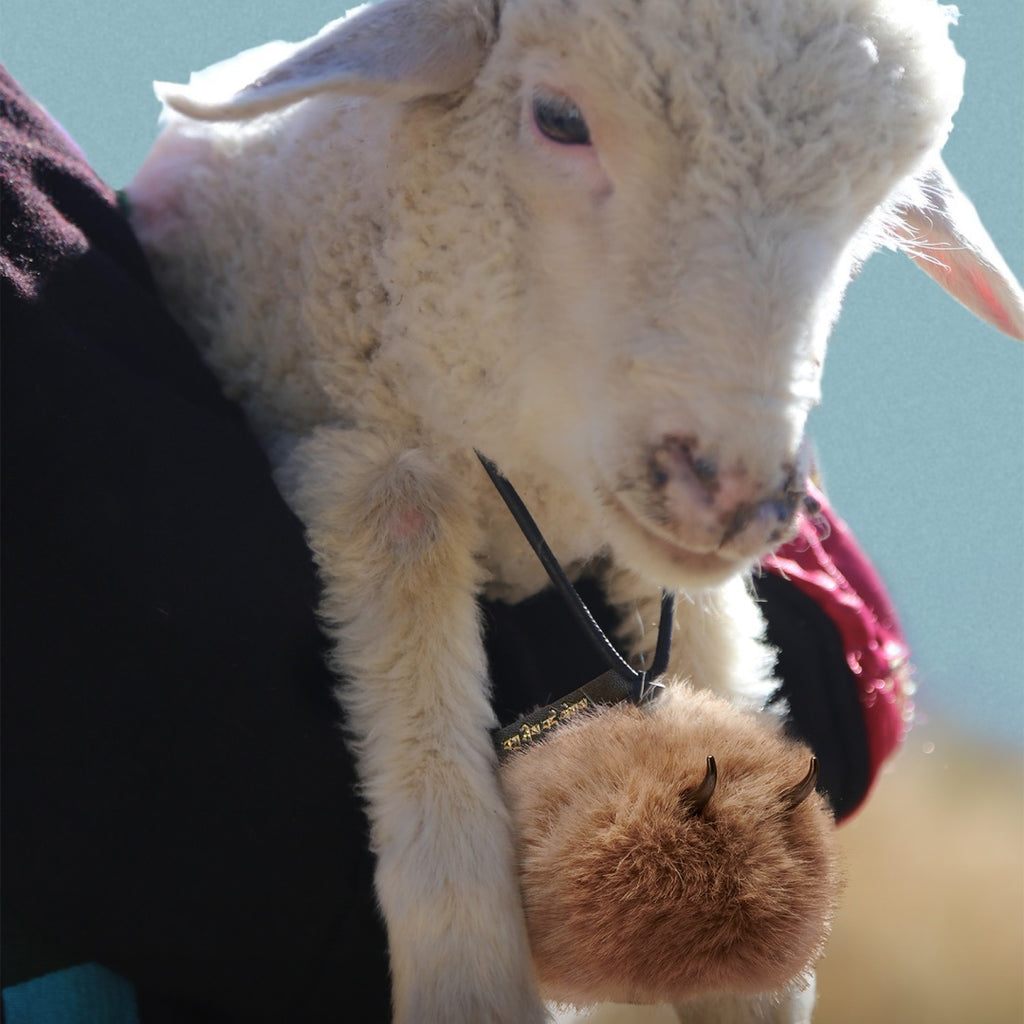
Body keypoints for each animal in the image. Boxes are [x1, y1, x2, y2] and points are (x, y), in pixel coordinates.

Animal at [128, 2, 1024, 1024]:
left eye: (878, 198)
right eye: (560, 120)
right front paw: (468, 966)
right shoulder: (349, 437)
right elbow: (406, 548)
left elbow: (719, 654)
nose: (730, 494)